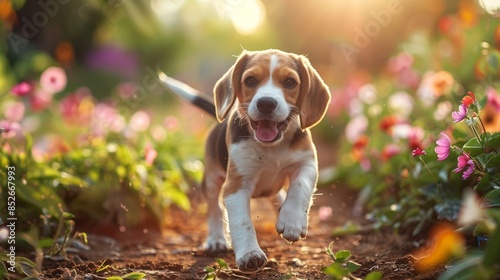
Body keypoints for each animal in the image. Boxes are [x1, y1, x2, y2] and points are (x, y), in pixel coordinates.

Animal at [162, 49, 330, 272]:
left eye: (290, 82)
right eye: (250, 80)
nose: (266, 103)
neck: (272, 148)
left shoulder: (307, 163)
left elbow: (300, 186)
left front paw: (292, 220)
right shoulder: (236, 186)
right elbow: (242, 222)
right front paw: (250, 254)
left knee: (276, 193)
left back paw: (281, 208)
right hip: (212, 179)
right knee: (215, 209)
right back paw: (216, 239)